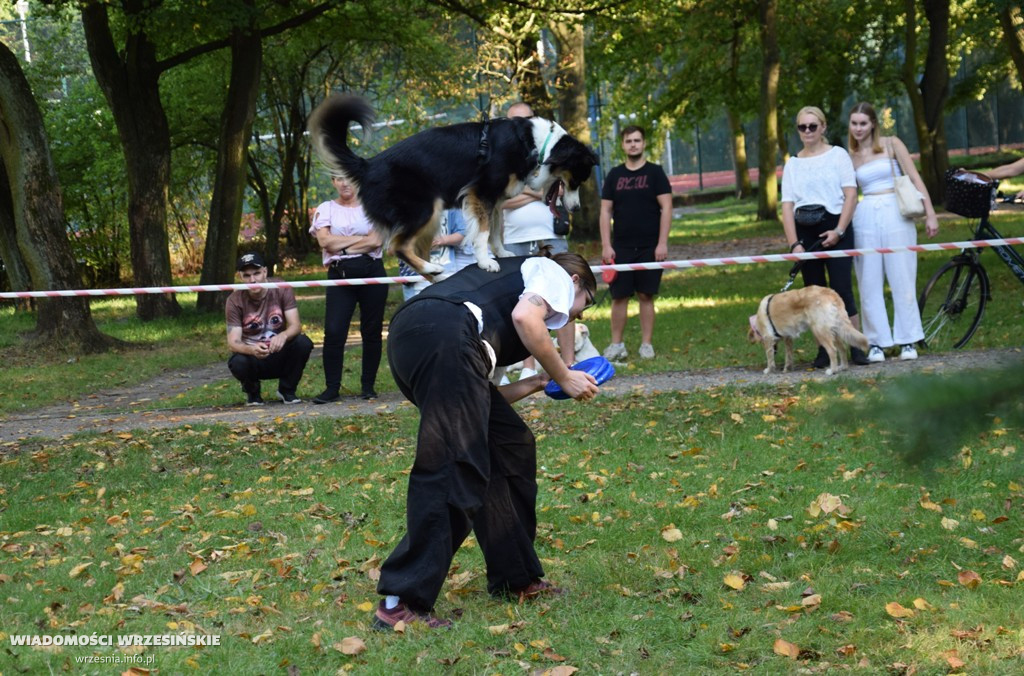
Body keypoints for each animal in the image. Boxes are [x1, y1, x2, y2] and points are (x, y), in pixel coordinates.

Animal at [303, 93, 598, 276]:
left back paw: (435, 275)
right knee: (397, 246)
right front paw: (485, 262)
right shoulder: (481, 193)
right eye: (577, 179)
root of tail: (367, 165)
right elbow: (482, 233)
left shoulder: (496, 199)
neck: (537, 145)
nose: (576, 209)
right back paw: (431, 269)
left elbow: (496, 231)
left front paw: (501, 253)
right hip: (424, 209)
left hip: (429, 220)